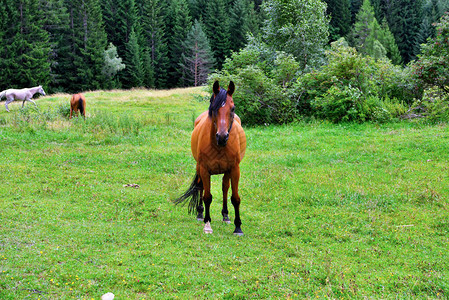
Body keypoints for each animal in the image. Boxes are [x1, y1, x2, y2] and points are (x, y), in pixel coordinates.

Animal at [174, 81, 245, 236]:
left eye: (233, 108)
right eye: (214, 108)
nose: (222, 137)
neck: (218, 146)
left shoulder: (235, 169)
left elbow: (235, 198)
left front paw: (238, 227)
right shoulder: (204, 169)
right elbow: (207, 197)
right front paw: (207, 224)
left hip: (227, 171)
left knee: (225, 187)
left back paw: (225, 215)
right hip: (199, 168)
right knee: (200, 187)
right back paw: (200, 214)